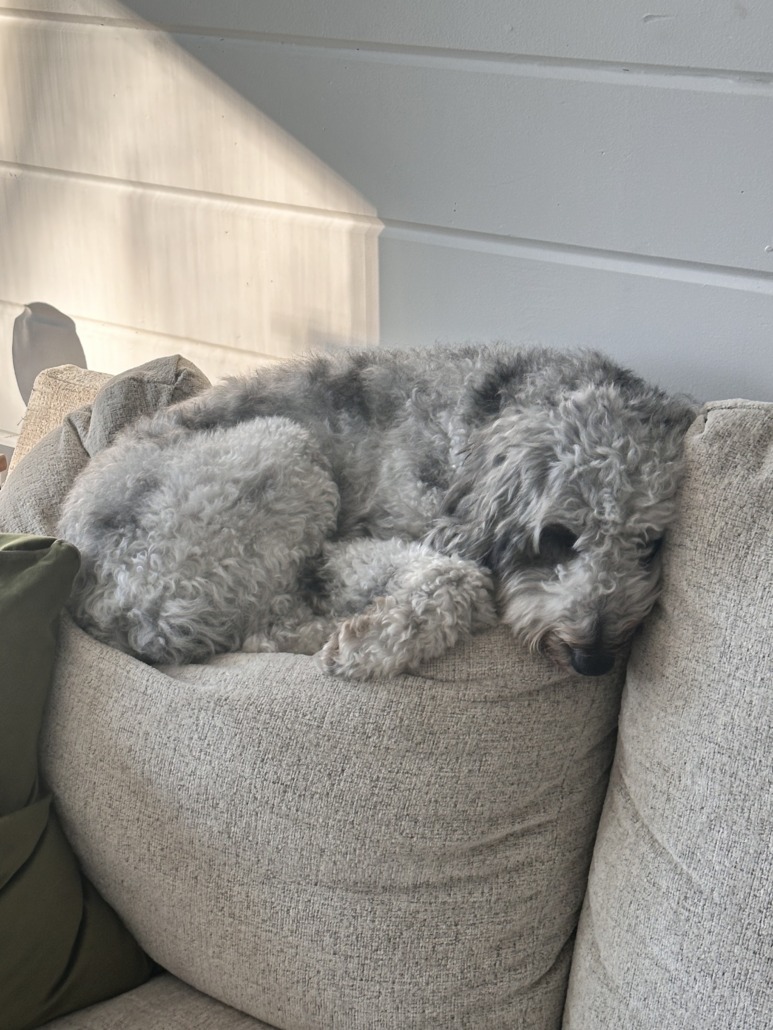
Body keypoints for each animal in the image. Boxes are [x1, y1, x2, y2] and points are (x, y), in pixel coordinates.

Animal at [57, 345, 697, 678]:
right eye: (559, 537)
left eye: (648, 543)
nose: (595, 658)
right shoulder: (382, 535)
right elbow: (458, 579)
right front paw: (366, 647)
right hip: (281, 455)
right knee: (268, 619)